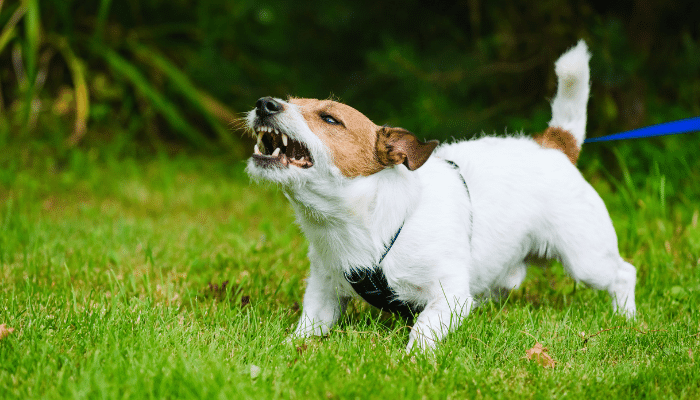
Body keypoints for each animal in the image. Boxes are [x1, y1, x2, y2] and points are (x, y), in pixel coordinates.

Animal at [245, 41, 636, 354]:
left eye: (330, 119)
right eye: (289, 101)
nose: (264, 103)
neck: (364, 223)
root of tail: (554, 145)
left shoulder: (450, 296)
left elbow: (423, 329)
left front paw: (411, 360)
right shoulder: (324, 291)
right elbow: (309, 325)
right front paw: (287, 349)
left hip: (586, 259)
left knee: (623, 273)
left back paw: (626, 318)